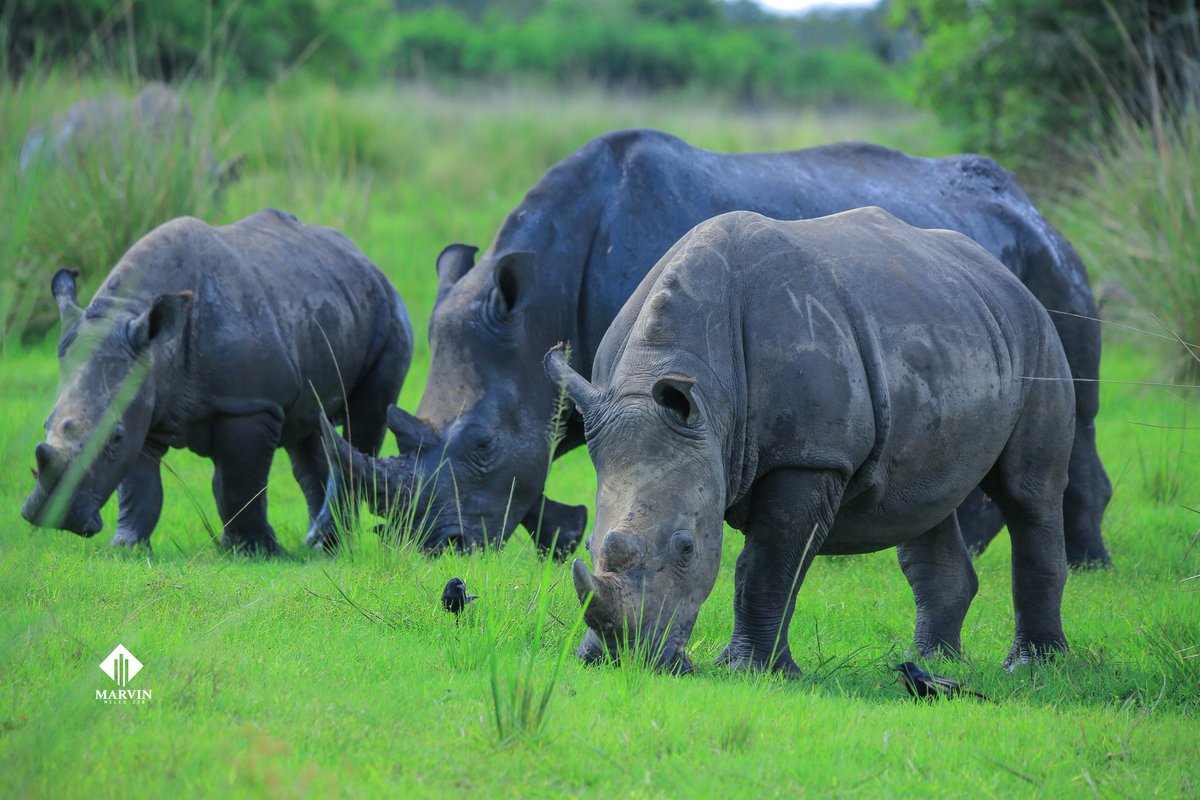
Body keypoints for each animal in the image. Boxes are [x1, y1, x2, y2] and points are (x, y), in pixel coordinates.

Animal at [20, 209, 411, 554]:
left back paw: (325, 544)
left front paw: (258, 551)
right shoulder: (143, 399)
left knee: (362, 425)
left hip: (390, 313)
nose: (52, 518)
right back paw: (318, 545)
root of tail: (367, 261)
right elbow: (140, 487)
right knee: (310, 430)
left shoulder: (248, 405)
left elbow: (236, 484)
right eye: (46, 424)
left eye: (113, 438)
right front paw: (127, 549)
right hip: (322, 299)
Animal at [326, 129, 1110, 566]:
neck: (542, 299)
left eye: (484, 446)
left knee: (1075, 415)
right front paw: (562, 540)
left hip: (1046, 275)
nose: (435, 547)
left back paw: (1086, 566)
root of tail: (1034, 206)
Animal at [546, 208, 1075, 673]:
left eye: (686, 549)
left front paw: (748, 670)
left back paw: (1031, 666)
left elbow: (767, 564)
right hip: (952, 326)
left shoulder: (810, 456)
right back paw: (934, 662)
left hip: (1038, 333)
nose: (622, 660)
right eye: (588, 543)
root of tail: (1003, 272)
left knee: (1029, 495)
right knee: (924, 501)